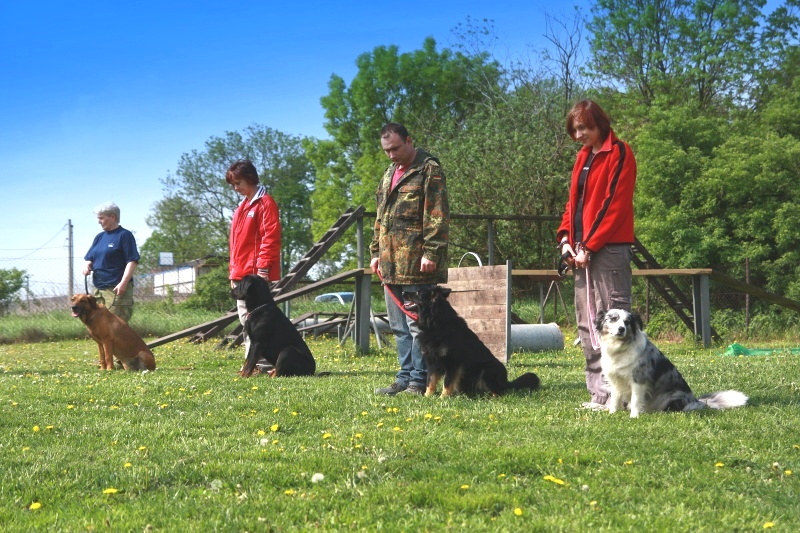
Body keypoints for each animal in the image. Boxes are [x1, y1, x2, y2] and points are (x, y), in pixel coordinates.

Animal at [404, 286, 540, 394]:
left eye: (418, 292)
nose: (403, 292)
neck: (436, 323)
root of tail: (506, 382)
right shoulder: (432, 361)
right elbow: (430, 382)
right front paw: (428, 396)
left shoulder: (453, 362)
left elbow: (447, 383)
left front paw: (443, 398)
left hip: (488, 369)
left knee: (498, 392)